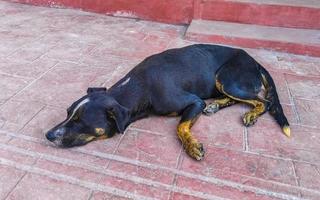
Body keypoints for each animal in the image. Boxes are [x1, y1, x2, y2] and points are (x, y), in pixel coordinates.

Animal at [45, 44, 290, 160]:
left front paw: (192, 147)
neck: (141, 88)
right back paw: (216, 105)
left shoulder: (195, 102)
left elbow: (181, 126)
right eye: (67, 112)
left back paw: (250, 113)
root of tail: (254, 61)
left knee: (264, 101)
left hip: (227, 79)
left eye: (80, 120)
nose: (47, 135)